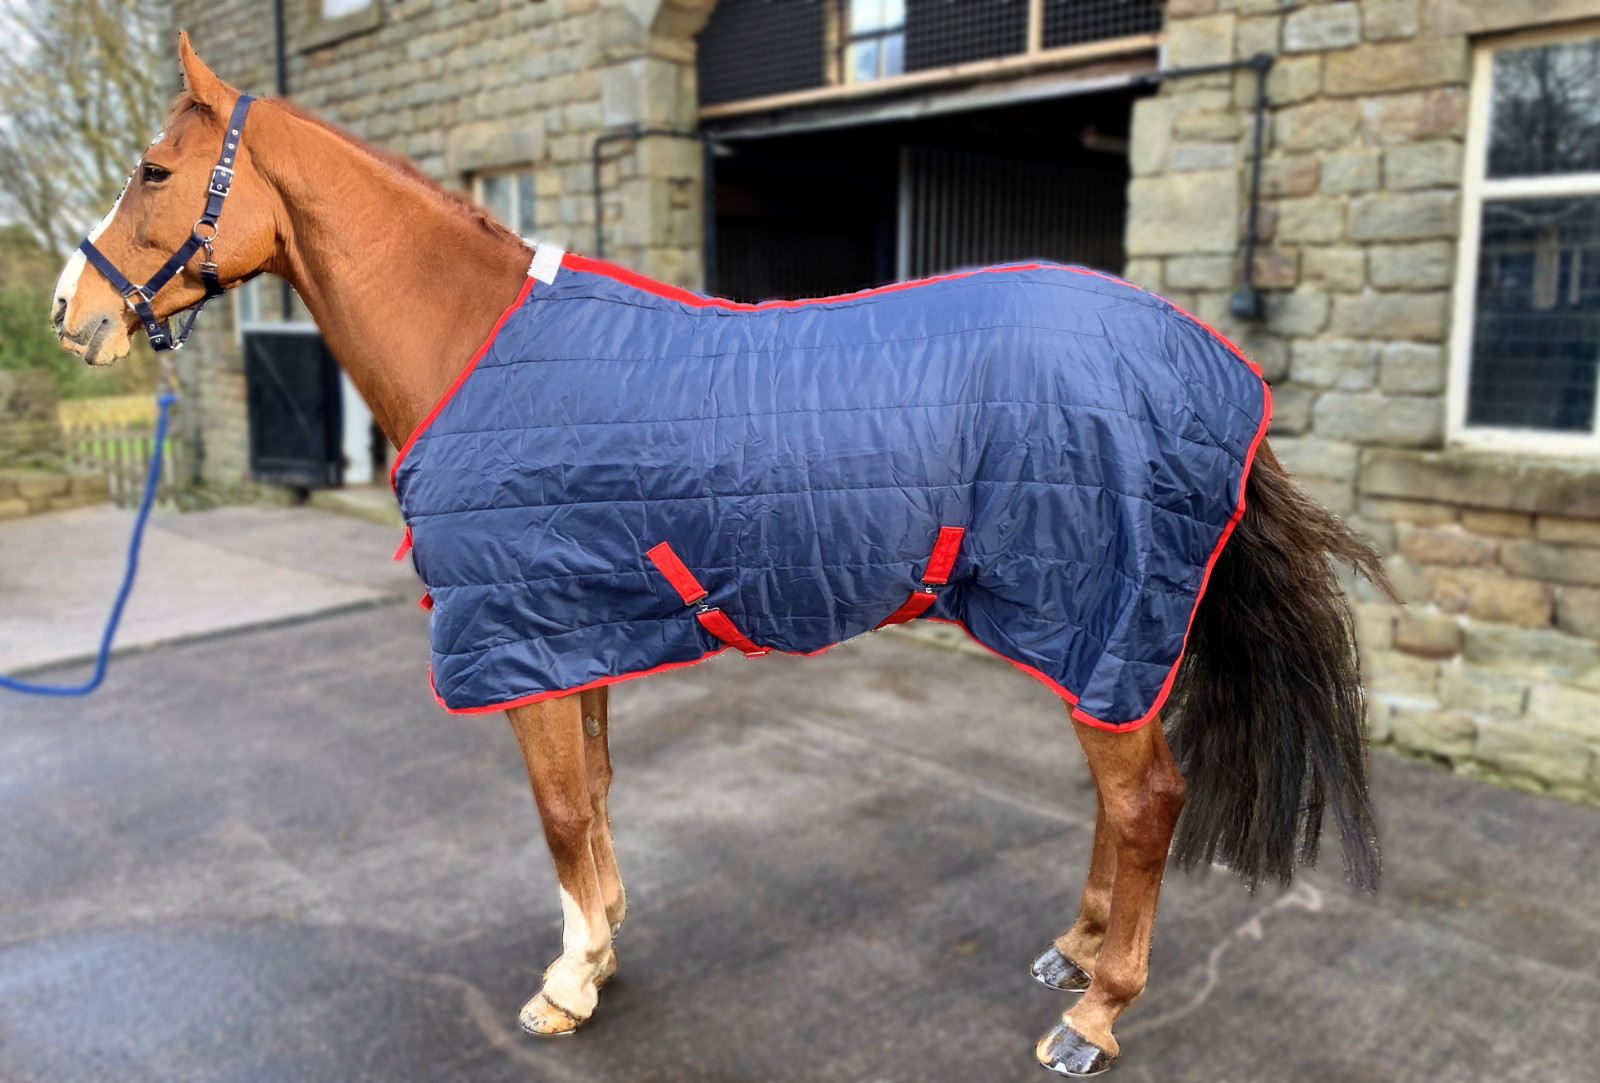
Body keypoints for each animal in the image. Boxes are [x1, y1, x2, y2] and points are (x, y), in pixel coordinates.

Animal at [51, 34, 1393, 1077]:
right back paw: (1073, 954)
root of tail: (1201, 359)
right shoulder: (574, 633)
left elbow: (556, 811)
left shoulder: (522, 641)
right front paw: (600, 946)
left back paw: (1096, 1016)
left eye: (154, 170)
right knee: (1123, 807)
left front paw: (566, 984)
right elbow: (591, 800)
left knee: (1147, 799)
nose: (74, 317)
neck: (478, 349)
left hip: (1096, 623)